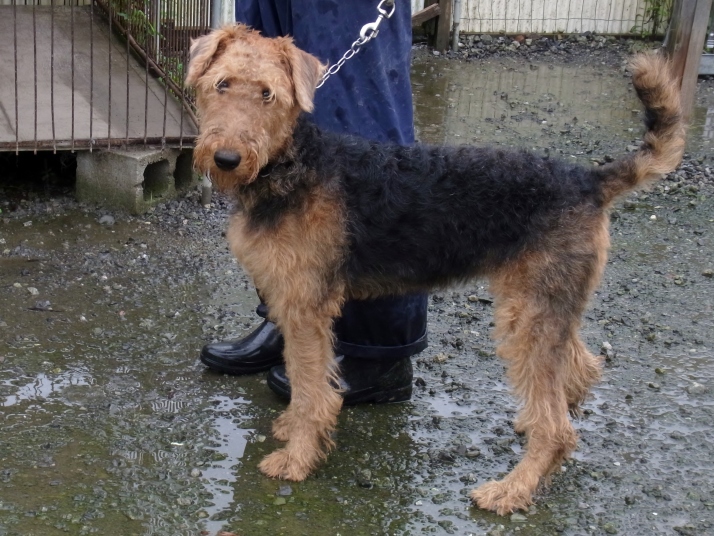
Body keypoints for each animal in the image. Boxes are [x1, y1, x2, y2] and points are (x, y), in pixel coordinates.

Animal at [185, 24, 685, 514]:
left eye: (268, 94)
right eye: (221, 84)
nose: (226, 158)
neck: (291, 163)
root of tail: (589, 181)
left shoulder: (306, 305)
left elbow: (312, 390)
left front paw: (296, 459)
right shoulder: (291, 302)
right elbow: (302, 373)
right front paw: (292, 428)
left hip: (528, 313)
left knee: (557, 426)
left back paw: (511, 489)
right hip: (545, 304)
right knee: (581, 367)